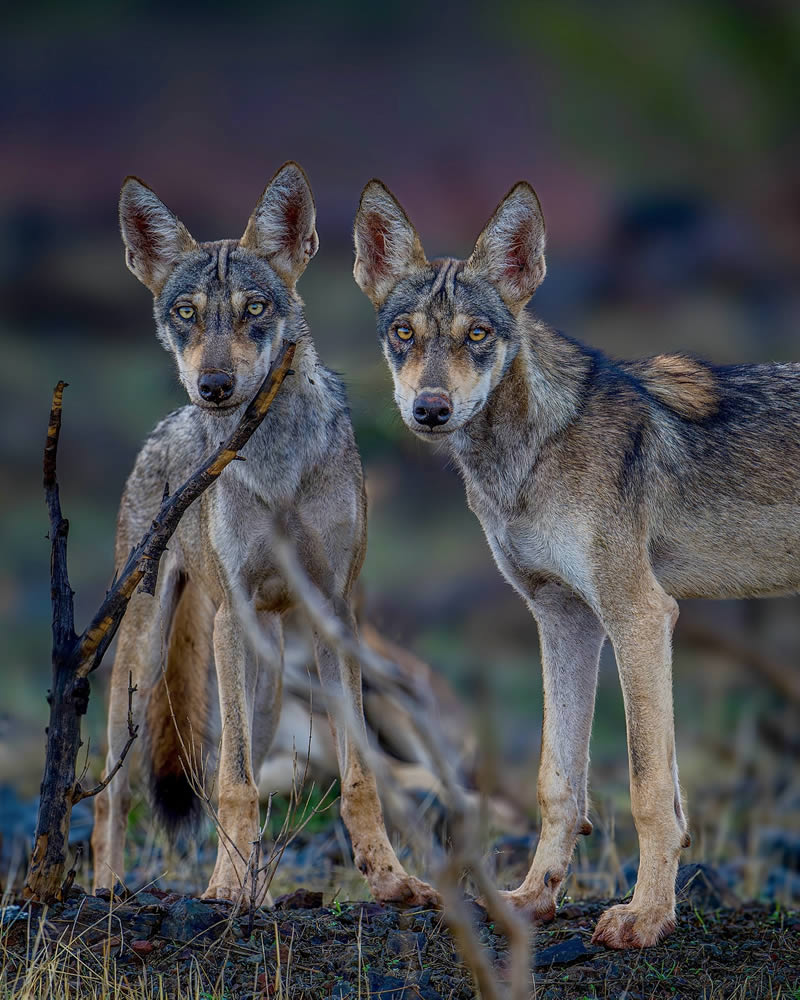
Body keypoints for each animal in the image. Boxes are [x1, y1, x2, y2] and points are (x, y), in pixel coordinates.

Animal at [91, 162, 438, 908]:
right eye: (187, 313)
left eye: (255, 310)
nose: (215, 385)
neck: (275, 462)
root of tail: (165, 428)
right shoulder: (232, 613)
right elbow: (234, 783)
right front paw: (223, 890)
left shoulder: (337, 614)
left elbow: (360, 776)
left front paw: (392, 878)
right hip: (145, 656)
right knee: (113, 789)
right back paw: (110, 888)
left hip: (272, 677)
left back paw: (260, 890)